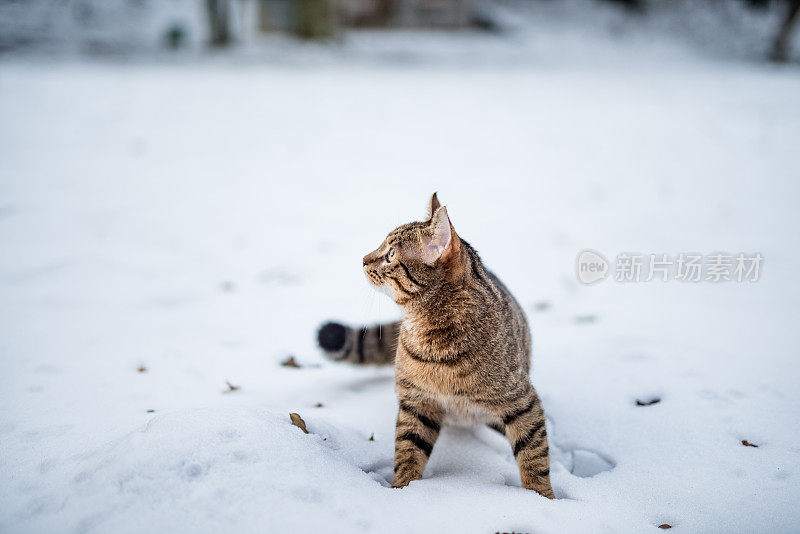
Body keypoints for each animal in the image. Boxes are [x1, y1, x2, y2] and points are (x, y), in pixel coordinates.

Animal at [316, 195, 552, 500]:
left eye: (391, 255)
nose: (364, 259)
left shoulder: (522, 401)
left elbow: (534, 456)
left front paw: (543, 498)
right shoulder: (416, 402)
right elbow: (408, 451)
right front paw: (402, 490)